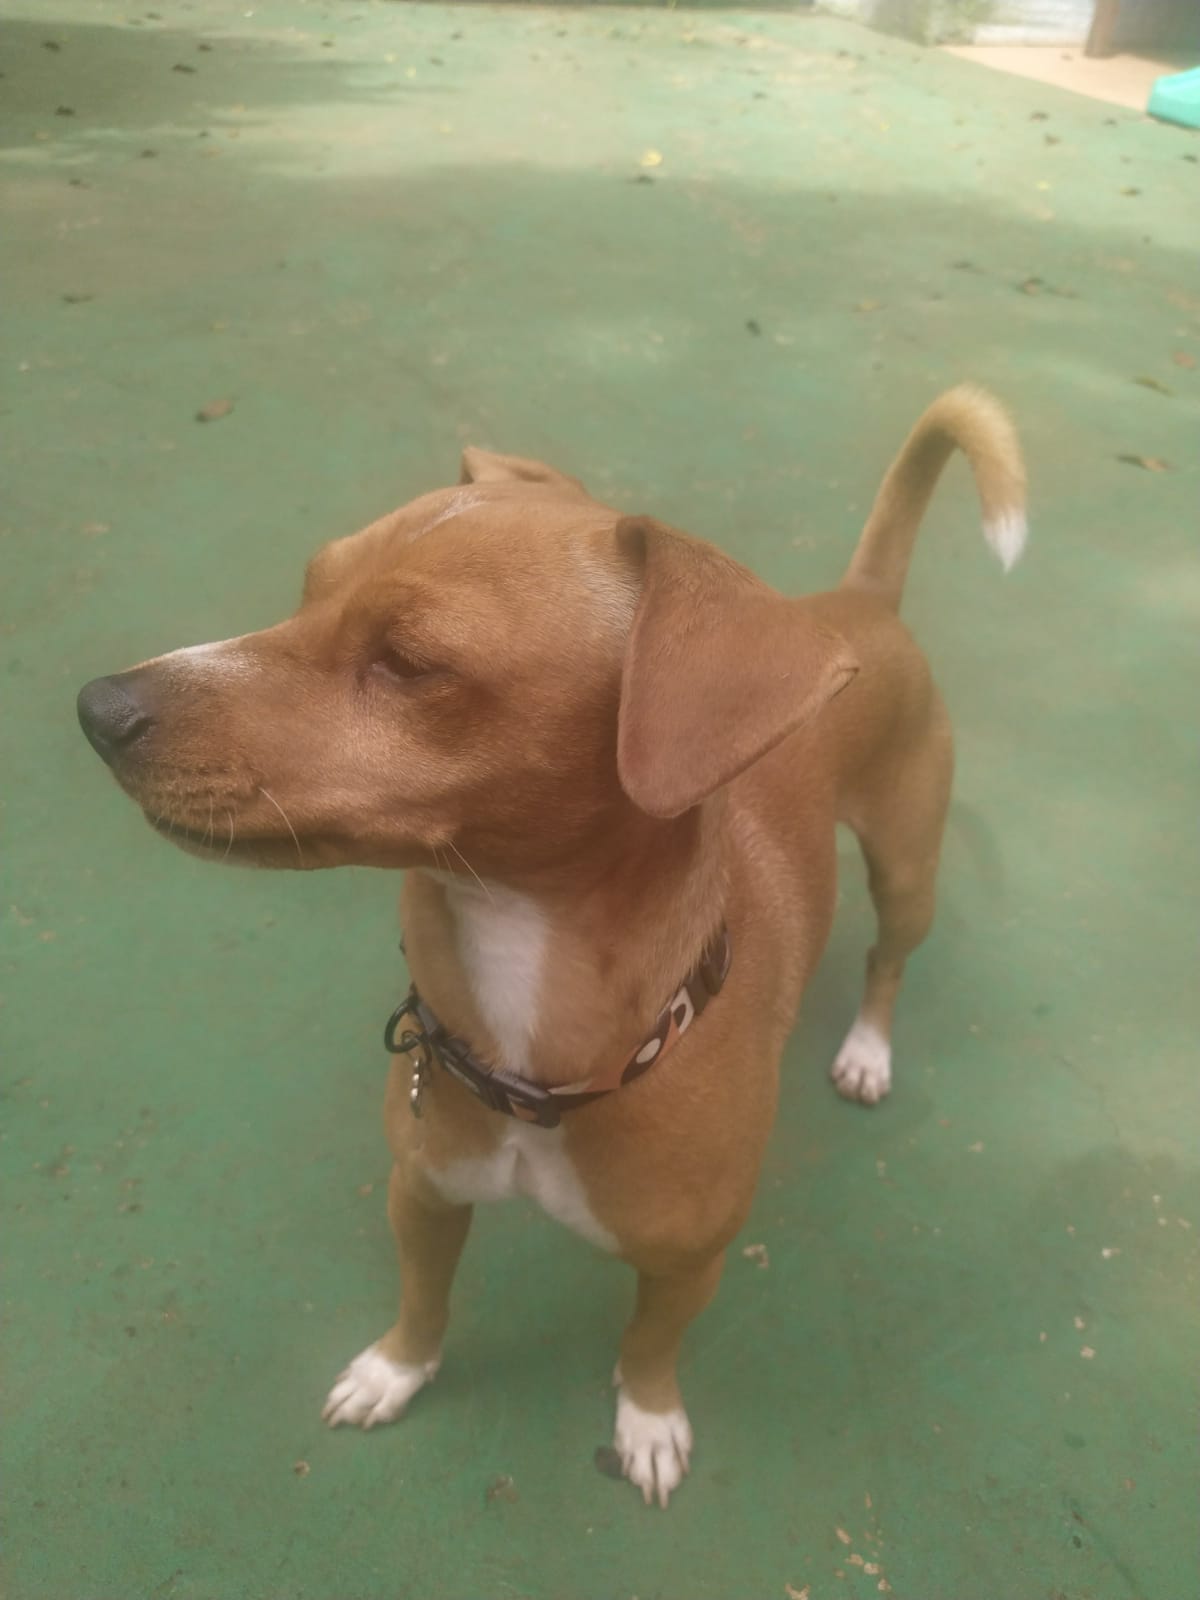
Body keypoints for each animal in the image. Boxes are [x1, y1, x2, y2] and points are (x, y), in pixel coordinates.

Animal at [77, 386, 1026, 1508]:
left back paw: (869, 1049)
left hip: (907, 871)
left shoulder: (688, 1264)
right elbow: (424, 1302)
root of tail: (859, 599)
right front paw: (395, 1369)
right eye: (308, 589)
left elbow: (649, 1344)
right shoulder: (422, 1195)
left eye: (408, 662)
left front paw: (648, 1419)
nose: (98, 708)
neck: (537, 1052)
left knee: (889, 958)